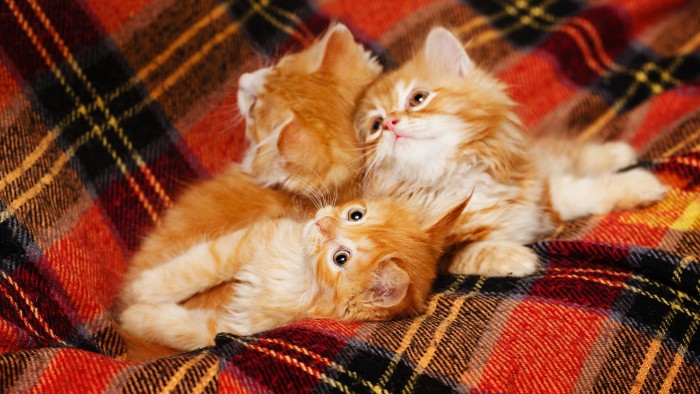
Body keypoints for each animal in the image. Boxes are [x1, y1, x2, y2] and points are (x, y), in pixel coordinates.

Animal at [117, 197, 468, 350]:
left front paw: (134, 314)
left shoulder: (237, 326)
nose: (321, 223)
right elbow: (196, 266)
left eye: (341, 258)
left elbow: (179, 329)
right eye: (356, 214)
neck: (298, 272)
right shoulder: (251, 239)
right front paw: (146, 287)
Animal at [356, 26, 668, 278]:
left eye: (418, 98)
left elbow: (581, 190)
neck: (456, 177)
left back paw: (619, 153)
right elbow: (473, 251)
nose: (390, 123)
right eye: (374, 126)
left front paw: (637, 184)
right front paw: (515, 257)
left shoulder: (534, 192)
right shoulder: (437, 257)